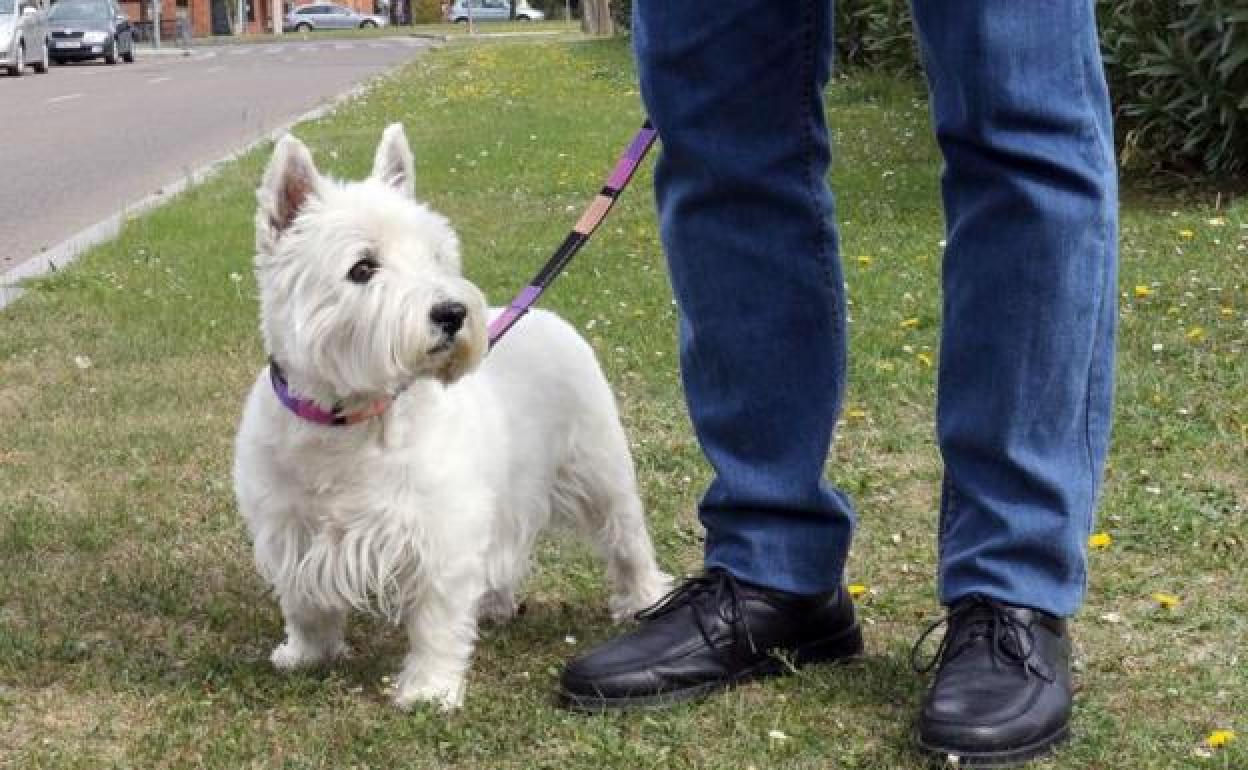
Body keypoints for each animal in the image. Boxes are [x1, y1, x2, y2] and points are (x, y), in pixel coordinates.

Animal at [233, 124, 671, 710]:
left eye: (435, 257)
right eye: (362, 267)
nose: (453, 313)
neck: (350, 421)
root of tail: (545, 314)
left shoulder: (438, 530)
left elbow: (435, 618)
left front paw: (428, 688)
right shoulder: (290, 528)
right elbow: (304, 602)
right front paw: (306, 654)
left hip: (597, 467)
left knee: (626, 537)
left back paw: (643, 597)